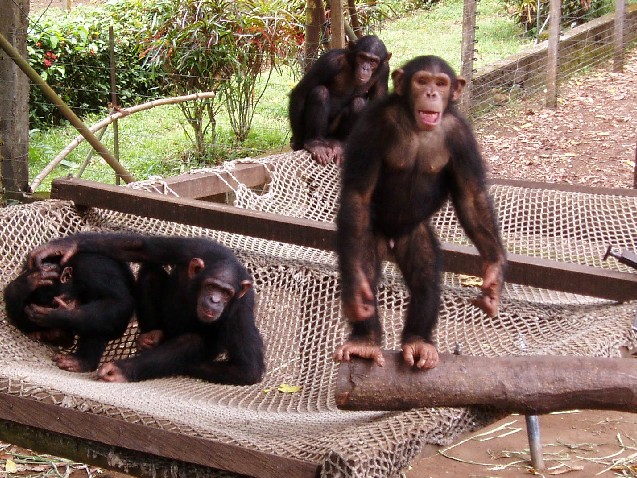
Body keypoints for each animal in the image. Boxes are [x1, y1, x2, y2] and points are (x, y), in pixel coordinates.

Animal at [4, 252, 135, 372]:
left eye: (55, 304)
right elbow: (26, 318)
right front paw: (25, 283)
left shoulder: (92, 268)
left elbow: (117, 301)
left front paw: (56, 316)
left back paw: (81, 361)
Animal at [28, 233, 264, 386]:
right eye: (211, 286)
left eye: (226, 293)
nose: (215, 300)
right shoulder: (191, 248)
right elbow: (143, 247)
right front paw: (64, 245)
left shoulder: (241, 309)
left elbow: (246, 371)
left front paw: (60, 316)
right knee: (151, 270)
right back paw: (153, 335)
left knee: (191, 342)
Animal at [286, 35, 388, 166]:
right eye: (362, 57)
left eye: (373, 61)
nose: (365, 68)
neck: (352, 66)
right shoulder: (328, 62)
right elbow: (300, 93)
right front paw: (297, 143)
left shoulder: (384, 70)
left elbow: (379, 102)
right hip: (325, 133)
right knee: (320, 92)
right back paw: (315, 143)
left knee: (358, 103)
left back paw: (341, 143)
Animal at [332, 55, 506, 370]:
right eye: (422, 81)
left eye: (441, 83)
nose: (432, 94)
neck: (417, 126)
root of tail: (391, 241)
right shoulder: (373, 126)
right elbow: (357, 195)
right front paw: (354, 291)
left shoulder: (462, 137)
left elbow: (471, 197)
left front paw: (495, 272)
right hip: (370, 232)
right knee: (363, 258)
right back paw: (365, 341)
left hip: (415, 234)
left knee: (425, 277)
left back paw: (418, 340)